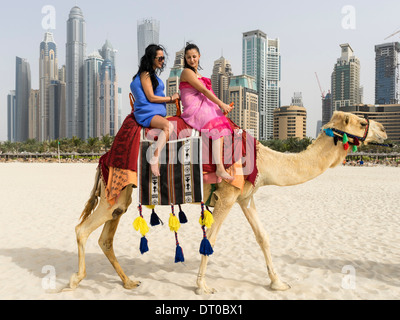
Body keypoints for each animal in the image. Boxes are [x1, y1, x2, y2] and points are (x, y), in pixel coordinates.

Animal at [69, 111, 388, 294]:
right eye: (362, 122)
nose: (384, 131)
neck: (263, 159)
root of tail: (104, 156)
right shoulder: (227, 195)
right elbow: (210, 238)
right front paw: (202, 286)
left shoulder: (246, 196)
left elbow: (263, 238)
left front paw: (278, 283)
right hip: (116, 187)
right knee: (82, 229)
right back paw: (75, 280)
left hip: (120, 194)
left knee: (106, 236)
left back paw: (129, 282)